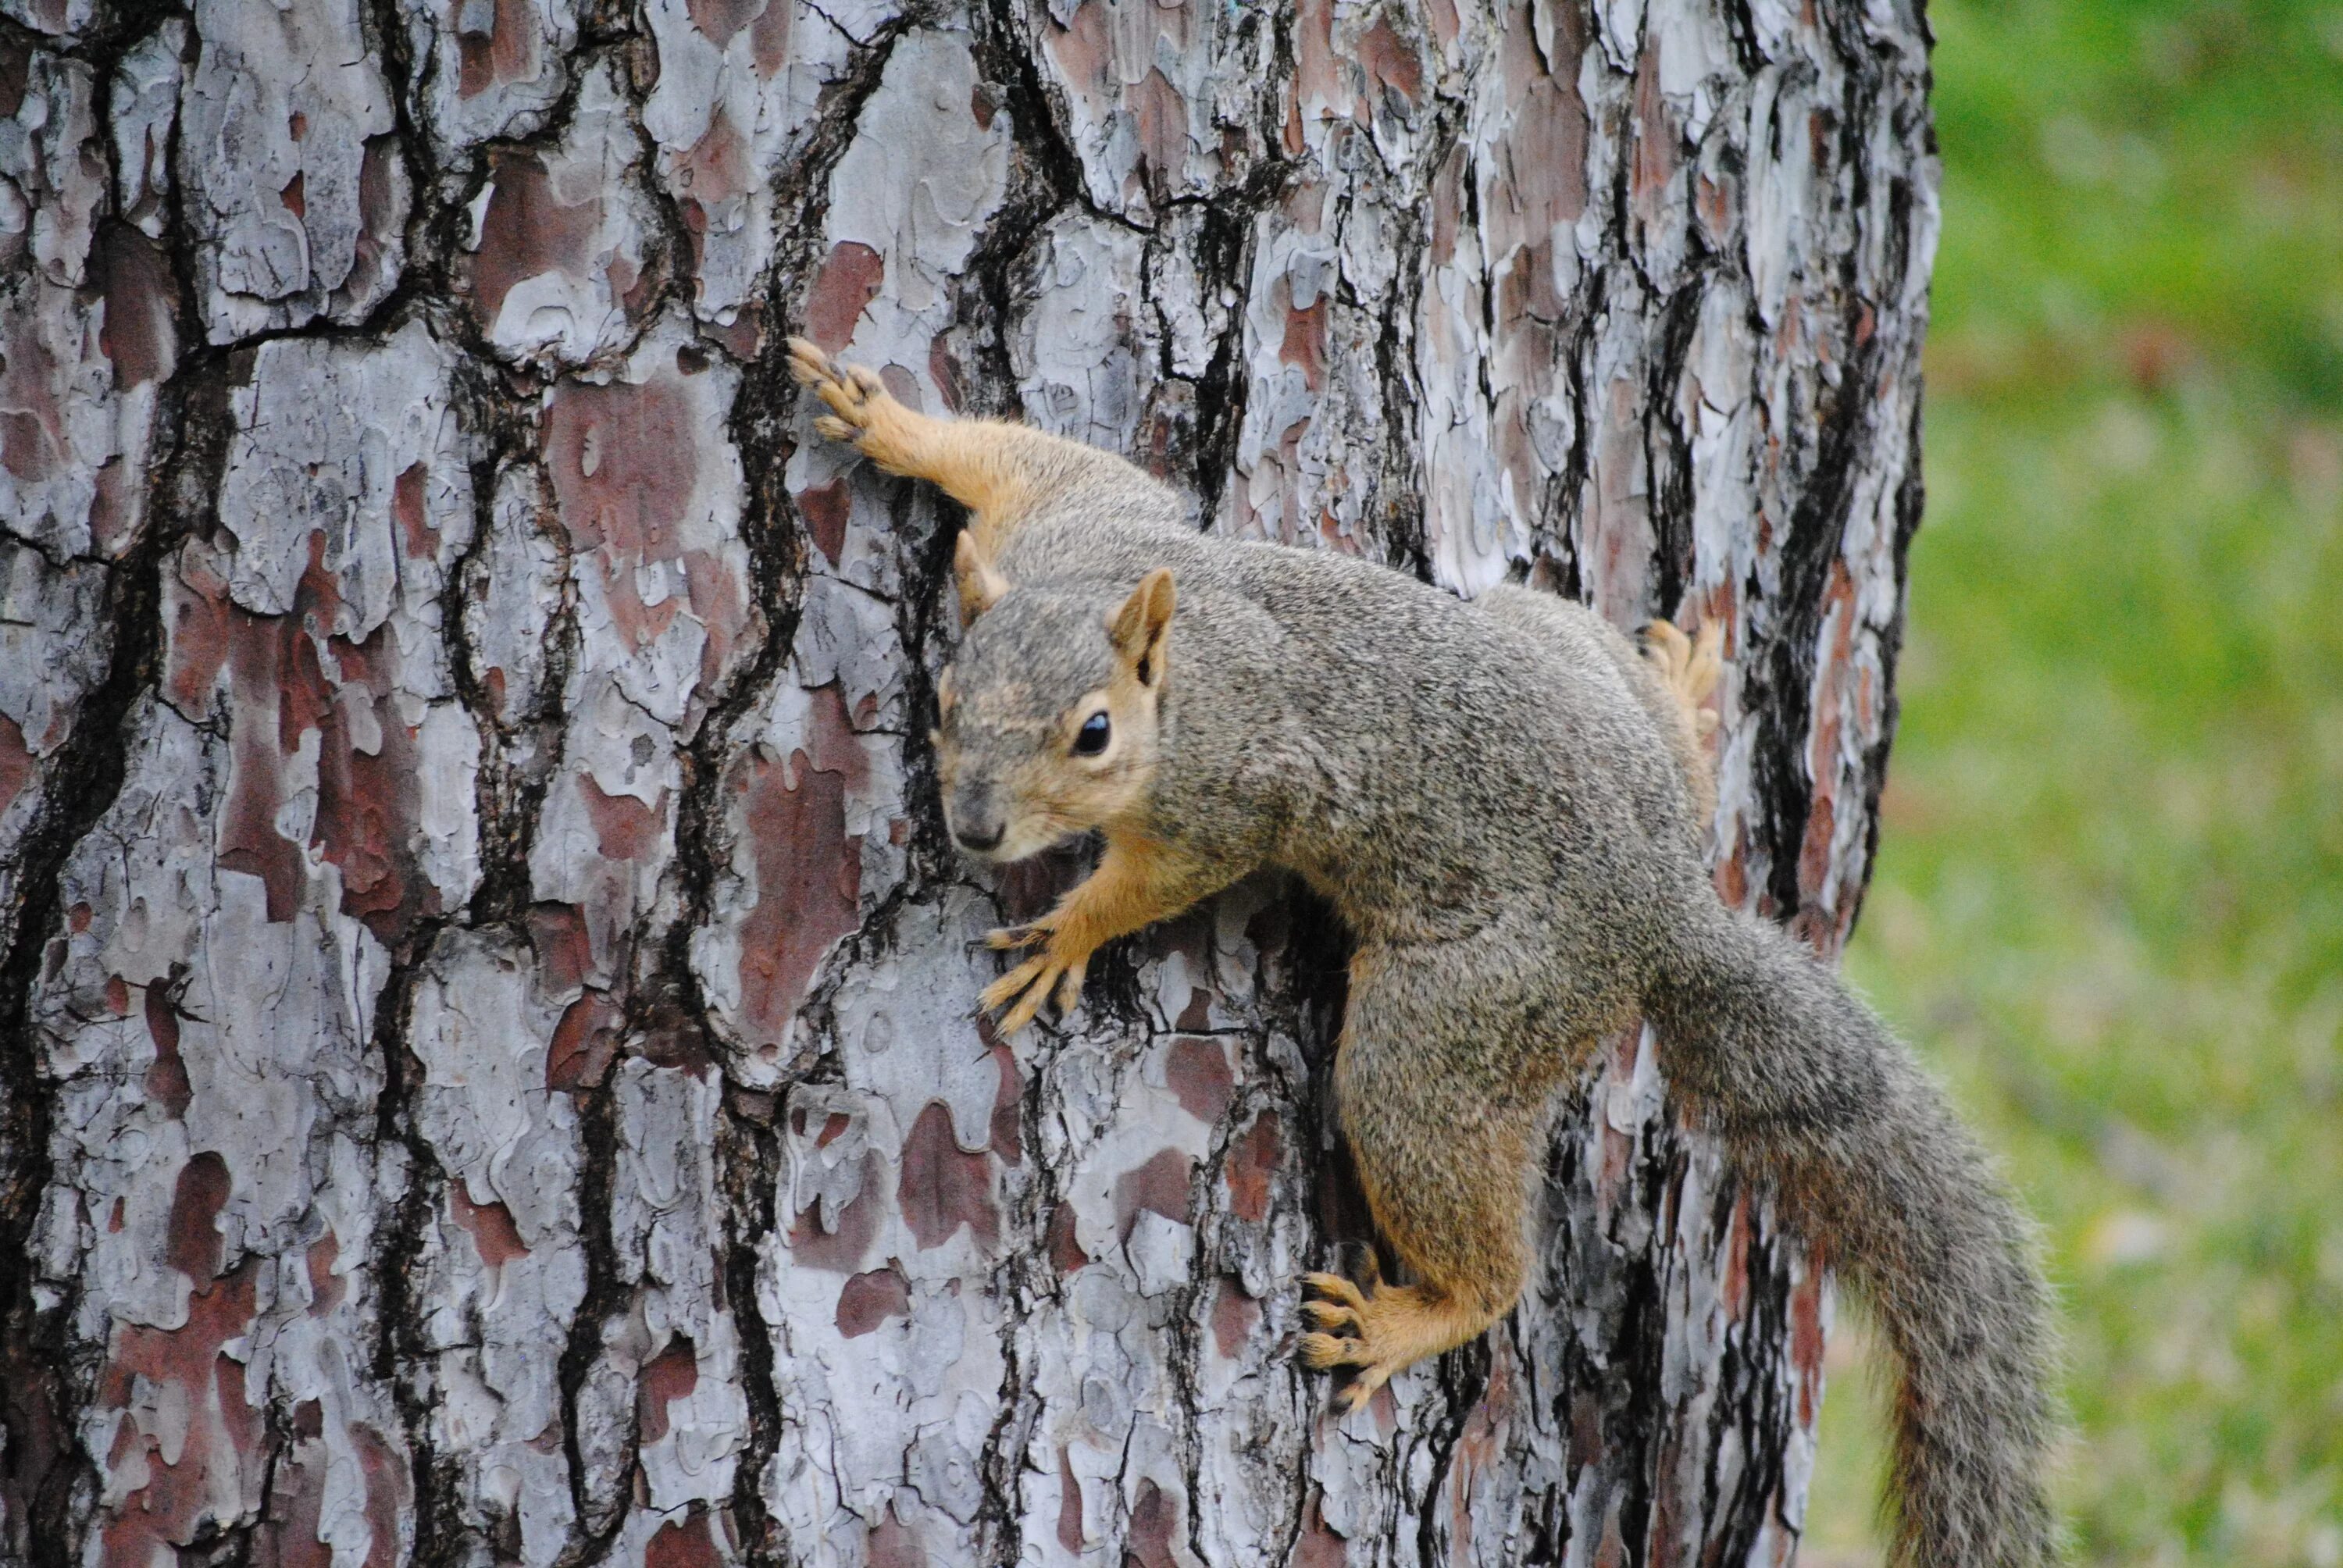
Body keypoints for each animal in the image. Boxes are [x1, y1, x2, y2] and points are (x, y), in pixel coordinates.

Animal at [787, 337, 2052, 1556]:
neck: (1172, 674)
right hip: (1551, 642)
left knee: (1466, 1210)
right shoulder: (1082, 519)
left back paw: (1417, 1316)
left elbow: (1163, 873)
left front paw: (1069, 932)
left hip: (1456, 1017)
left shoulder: (1228, 799)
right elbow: (1026, 459)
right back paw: (1686, 697)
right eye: (944, 700)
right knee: (1655, 740)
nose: (976, 828)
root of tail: (1661, 911)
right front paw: (893, 422)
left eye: (1093, 734)